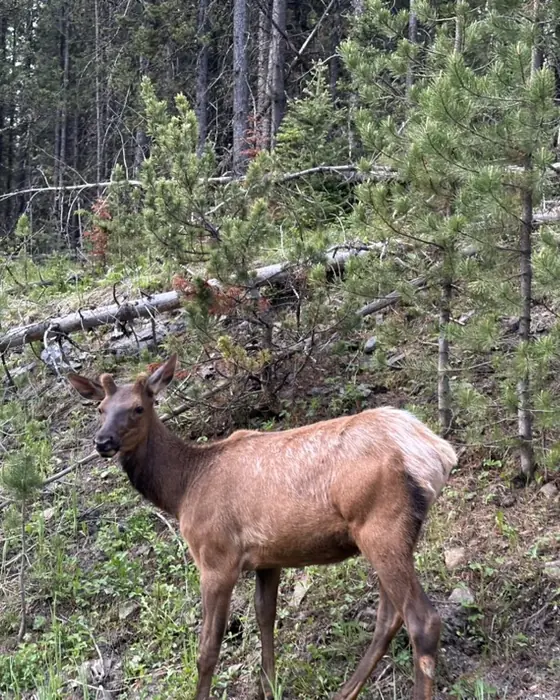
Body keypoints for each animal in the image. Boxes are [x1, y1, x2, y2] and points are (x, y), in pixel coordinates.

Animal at [68, 353, 457, 700]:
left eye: (138, 408)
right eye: (100, 409)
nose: (102, 442)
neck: (182, 489)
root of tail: (438, 453)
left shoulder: (216, 559)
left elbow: (208, 648)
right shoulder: (268, 559)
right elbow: (265, 618)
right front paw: (268, 688)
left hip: (381, 526)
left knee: (422, 620)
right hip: (389, 535)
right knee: (389, 616)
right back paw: (345, 692)